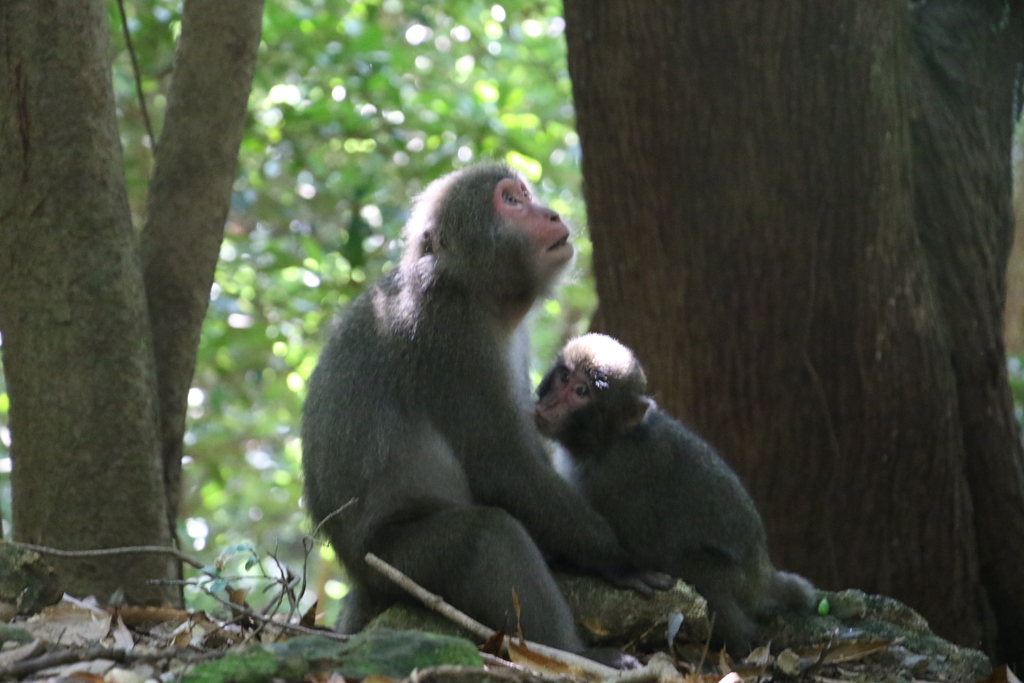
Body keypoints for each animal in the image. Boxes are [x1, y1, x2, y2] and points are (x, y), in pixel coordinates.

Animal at [299, 162, 667, 655]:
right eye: (510, 201)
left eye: (525, 195)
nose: (551, 214)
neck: (471, 291)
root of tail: (356, 571)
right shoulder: (452, 344)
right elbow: (503, 469)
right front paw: (618, 560)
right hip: (395, 564)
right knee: (488, 535)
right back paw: (577, 657)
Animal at [536, 333, 815, 655]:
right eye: (564, 377)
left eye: (582, 391)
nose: (549, 402)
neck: (607, 442)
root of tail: (764, 572)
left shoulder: (616, 478)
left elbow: (632, 548)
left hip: (735, 581)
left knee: (698, 570)